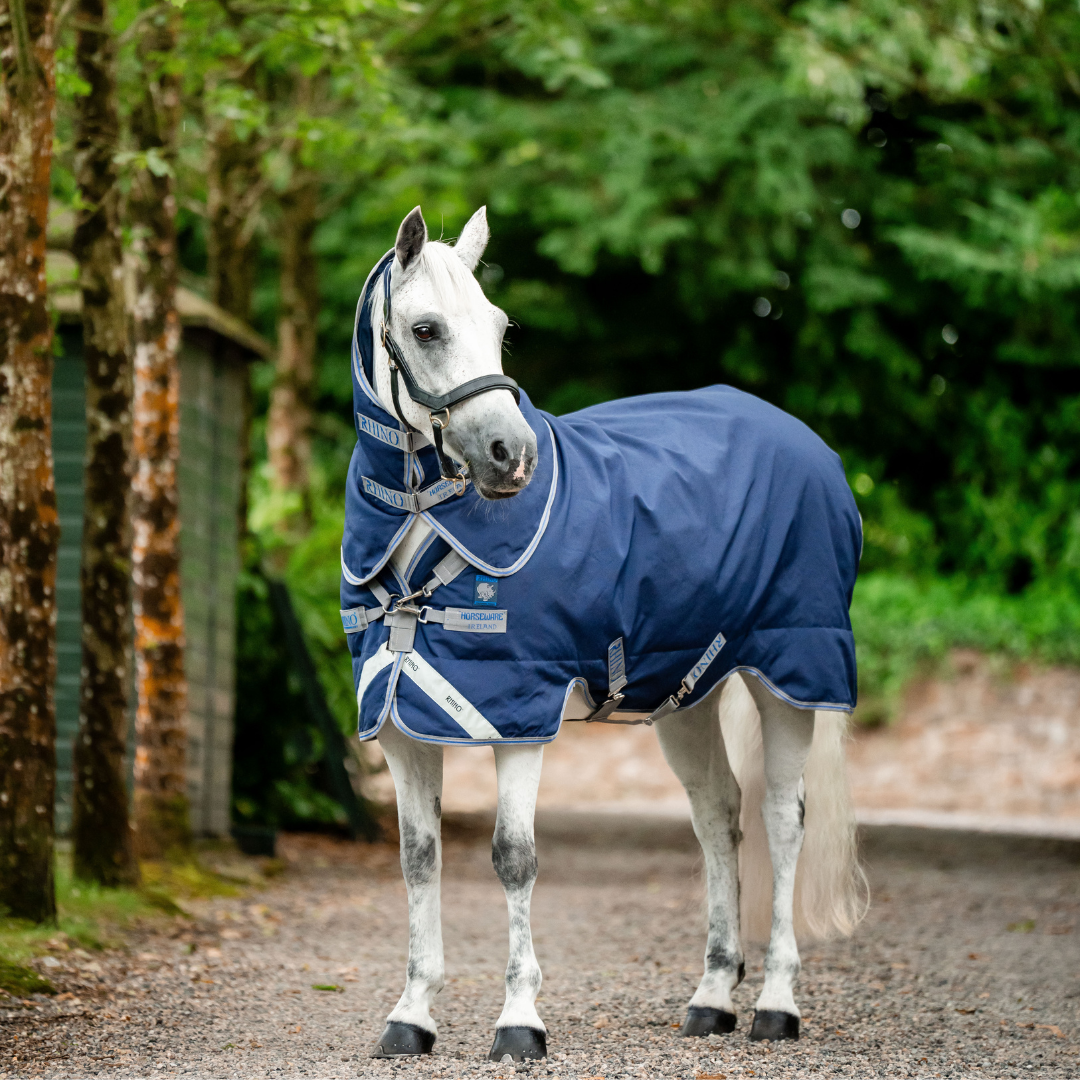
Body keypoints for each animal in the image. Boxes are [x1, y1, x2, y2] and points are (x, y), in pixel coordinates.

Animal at [338, 205, 866, 1062]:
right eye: (425, 329)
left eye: (499, 325)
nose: (510, 457)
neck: (426, 527)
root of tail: (809, 446)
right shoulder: (399, 723)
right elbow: (420, 860)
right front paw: (411, 1014)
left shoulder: (518, 714)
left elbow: (513, 858)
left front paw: (519, 1020)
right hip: (689, 697)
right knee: (718, 817)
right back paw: (711, 997)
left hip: (792, 674)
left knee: (783, 822)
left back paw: (776, 1005)